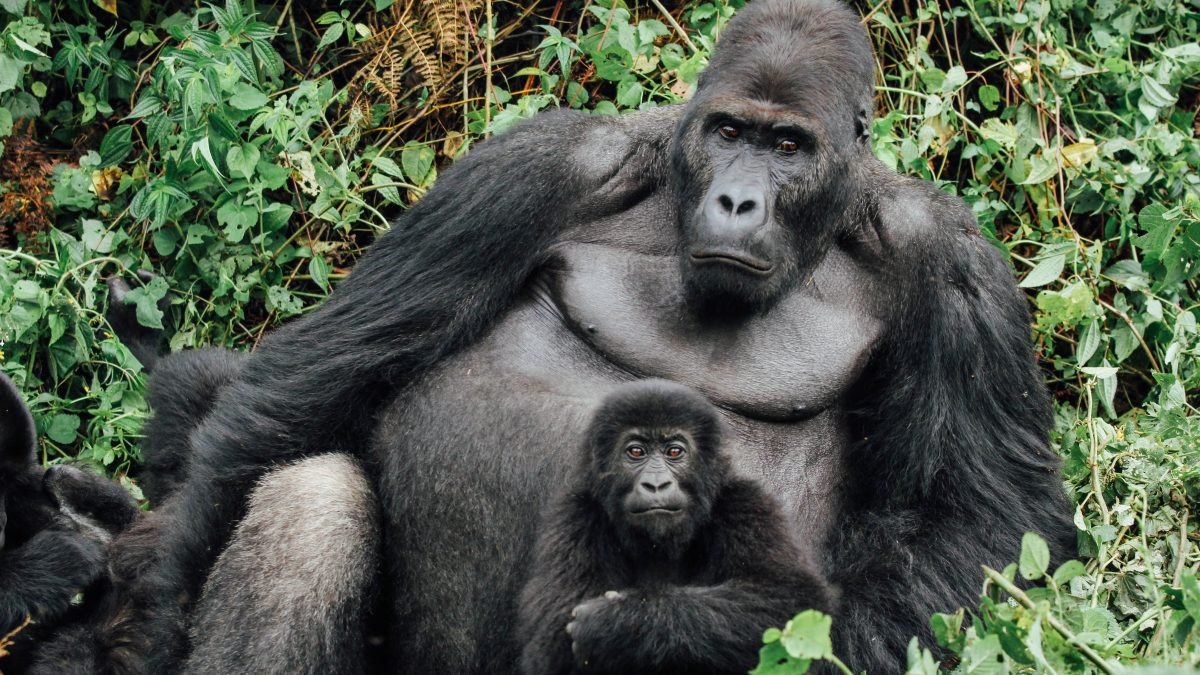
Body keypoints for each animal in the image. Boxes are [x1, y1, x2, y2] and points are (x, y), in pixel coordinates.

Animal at [516, 379, 835, 672]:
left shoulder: (745, 504)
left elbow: (791, 599)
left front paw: (616, 626)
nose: (656, 484)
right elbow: (552, 650)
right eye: (636, 452)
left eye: (674, 452)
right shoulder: (576, 516)